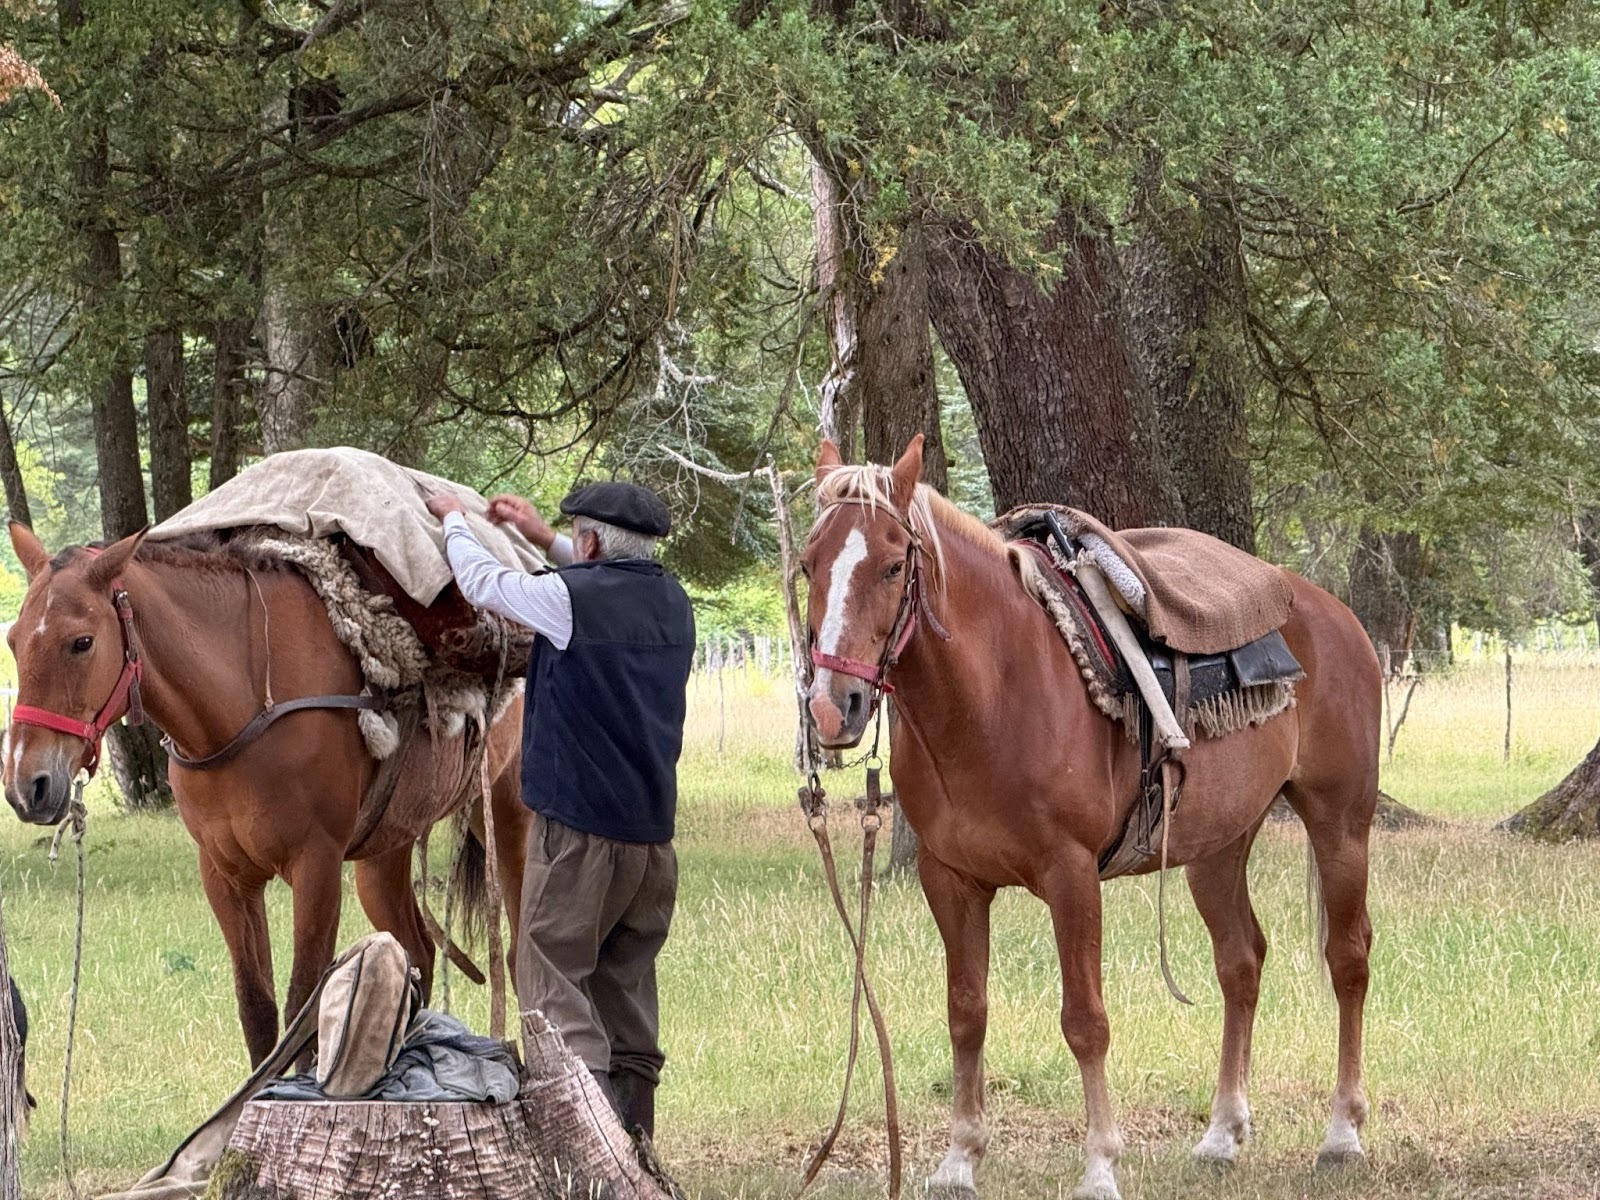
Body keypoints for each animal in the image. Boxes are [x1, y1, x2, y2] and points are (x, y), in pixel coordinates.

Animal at [2, 523, 530, 1067]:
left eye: (81, 642)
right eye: (14, 641)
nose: (27, 784)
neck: (247, 707)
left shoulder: (316, 867)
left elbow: (302, 1006)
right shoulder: (225, 876)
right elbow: (257, 1007)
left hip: (509, 820)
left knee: (517, 958)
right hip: (385, 852)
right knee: (417, 952)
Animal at [800, 437, 1379, 1200]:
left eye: (894, 564)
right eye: (808, 564)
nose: (832, 706)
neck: (992, 693)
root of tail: (1329, 612)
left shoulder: (1069, 875)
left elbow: (1085, 1021)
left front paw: (1101, 1164)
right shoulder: (948, 879)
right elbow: (966, 1012)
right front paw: (959, 1160)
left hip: (1341, 823)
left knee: (1347, 959)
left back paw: (1342, 1133)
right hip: (1217, 846)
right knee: (1241, 962)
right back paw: (1222, 1134)